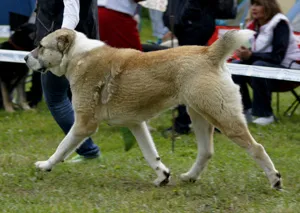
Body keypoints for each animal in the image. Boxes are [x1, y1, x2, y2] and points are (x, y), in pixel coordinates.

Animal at [24, 28, 282, 190]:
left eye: (41, 46)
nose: (26, 57)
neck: (78, 55)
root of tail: (208, 52)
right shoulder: (136, 124)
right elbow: (150, 154)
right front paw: (163, 177)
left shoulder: (84, 124)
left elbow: (62, 147)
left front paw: (45, 165)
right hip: (199, 115)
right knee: (206, 151)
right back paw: (189, 177)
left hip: (222, 117)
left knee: (256, 148)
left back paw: (275, 180)